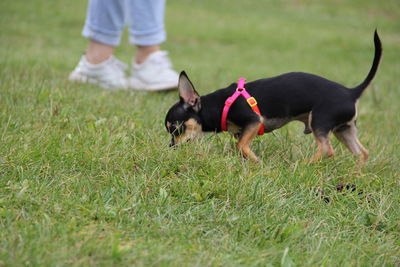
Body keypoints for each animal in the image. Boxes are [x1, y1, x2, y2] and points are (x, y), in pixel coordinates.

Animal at [165, 29, 382, 163]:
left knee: (327, 150)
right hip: (343, 129)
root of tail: (351, 91)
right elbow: (238, 147)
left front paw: (258, 163)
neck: (221, 105)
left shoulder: (253, 121)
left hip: (320, 122)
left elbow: (241, 146)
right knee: (362, 153)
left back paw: (304, 166)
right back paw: (356, 175)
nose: (170, 147)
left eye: (176, 129)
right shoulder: (242, 130)